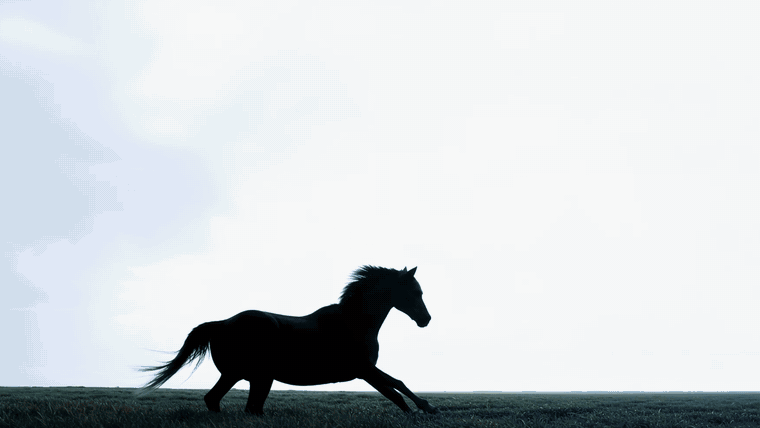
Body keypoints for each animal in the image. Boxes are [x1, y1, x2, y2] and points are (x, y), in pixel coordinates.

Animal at [136, 265, 438, 415]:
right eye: (415, 292)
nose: (426, 319)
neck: (353, 323)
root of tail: (222, 323)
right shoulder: (364, 370)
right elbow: (397, 388)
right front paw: (427, 408)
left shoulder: (364, 372)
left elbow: (395, 390)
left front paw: (422, 410)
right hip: (251, 376)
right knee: (238, 406)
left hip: (249, 377)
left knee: (230, 404)